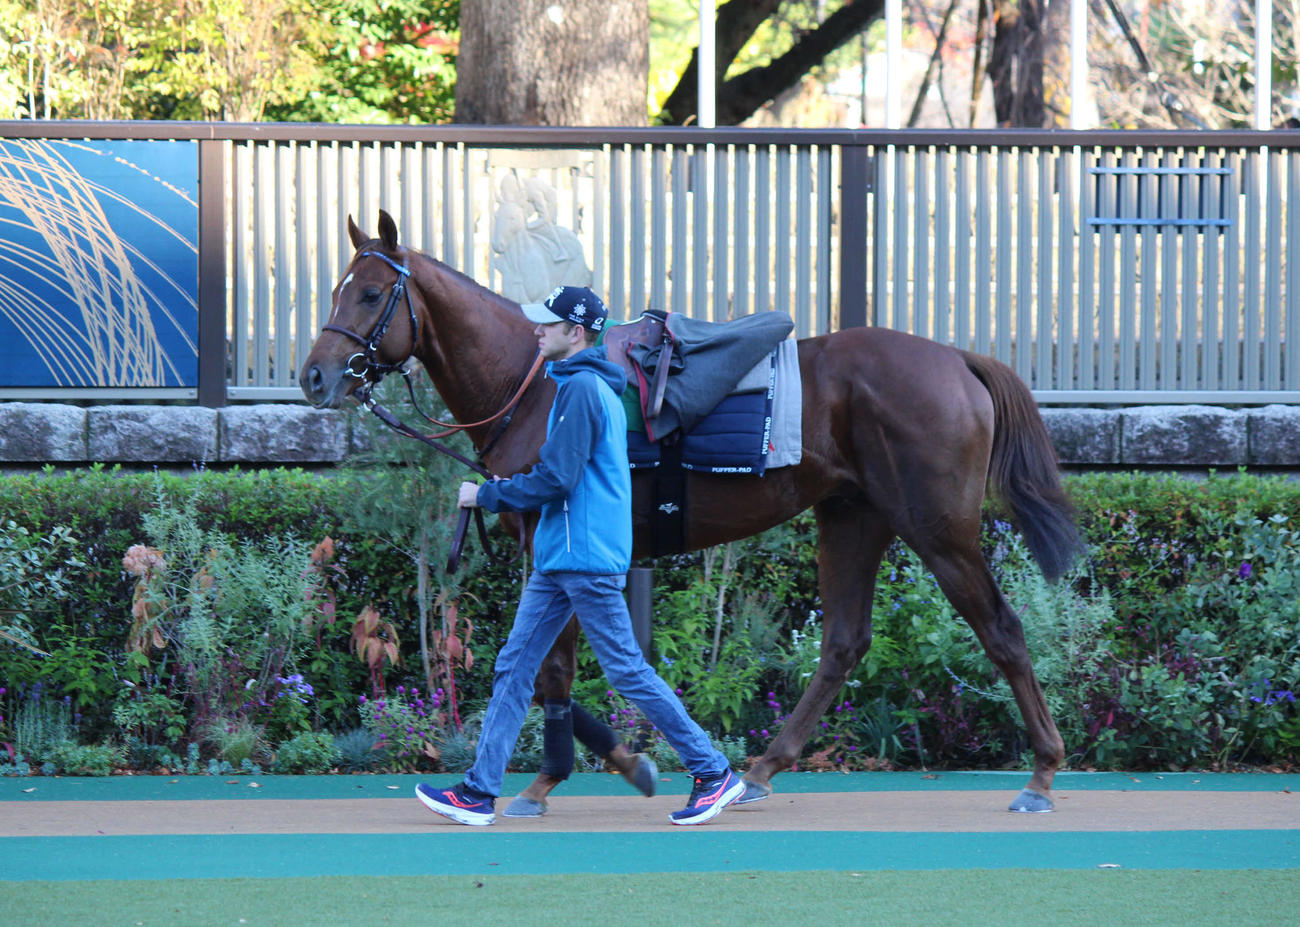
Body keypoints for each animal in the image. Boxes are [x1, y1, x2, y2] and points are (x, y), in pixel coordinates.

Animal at [301, 210, 1082, 814]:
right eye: (337, 290)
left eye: (370, 294)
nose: (314, 375)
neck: (537, 382)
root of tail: (957, 358)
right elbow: (551, 670)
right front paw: (614, 762)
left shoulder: (553, 543)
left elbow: (549, 672)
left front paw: (555, 776)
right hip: (852, 516)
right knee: (843, 643)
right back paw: (762, 769)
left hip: (938, 529)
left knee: (1002, 630)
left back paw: (1042, 772)